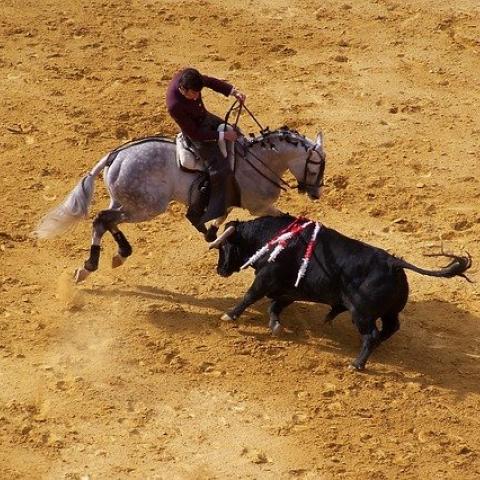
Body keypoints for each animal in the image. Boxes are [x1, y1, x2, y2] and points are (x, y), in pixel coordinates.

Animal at [35, 125, 324, 284]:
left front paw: (210, 233)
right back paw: (92, 265)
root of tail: (114, 156)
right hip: (147, 206)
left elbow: (220, 218)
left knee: (107, 220)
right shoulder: (260, 207)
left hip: (126, 201)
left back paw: (116, 255)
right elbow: (285, 219)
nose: (316, 193)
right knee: (103, 219)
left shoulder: (229, 201)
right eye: (315, 167)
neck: (259, 160)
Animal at [208, 216, 470, 370]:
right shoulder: (290, 289)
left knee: (372, 334)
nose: (220, 269)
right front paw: (275, 325)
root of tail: (393, 263)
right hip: (389, 312)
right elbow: (276, 305)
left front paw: (230, 315)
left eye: (224, 246)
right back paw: (375, 348)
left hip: (362, 314)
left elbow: (250, 296)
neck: (271, 236)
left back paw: (357, 364)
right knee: (390, 328)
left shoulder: (266, 278)